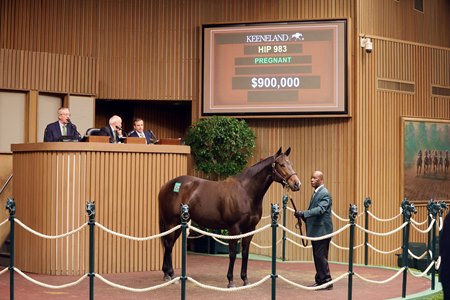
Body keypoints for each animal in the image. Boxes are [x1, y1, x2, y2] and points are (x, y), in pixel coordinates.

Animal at [158, 148, 302, 288]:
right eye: (281, 164)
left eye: (291, 164)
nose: (297, 184)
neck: (246, 192)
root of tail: (166, 186)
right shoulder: (234, 228)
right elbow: (232, 254)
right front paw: (231, 281)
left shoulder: (250, 229)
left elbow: (245, 253)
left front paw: (245, 279)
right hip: (171, 222)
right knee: (168, 245)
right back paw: (168, 275)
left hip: (179, 224)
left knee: (169, 245)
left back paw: (169, 274)